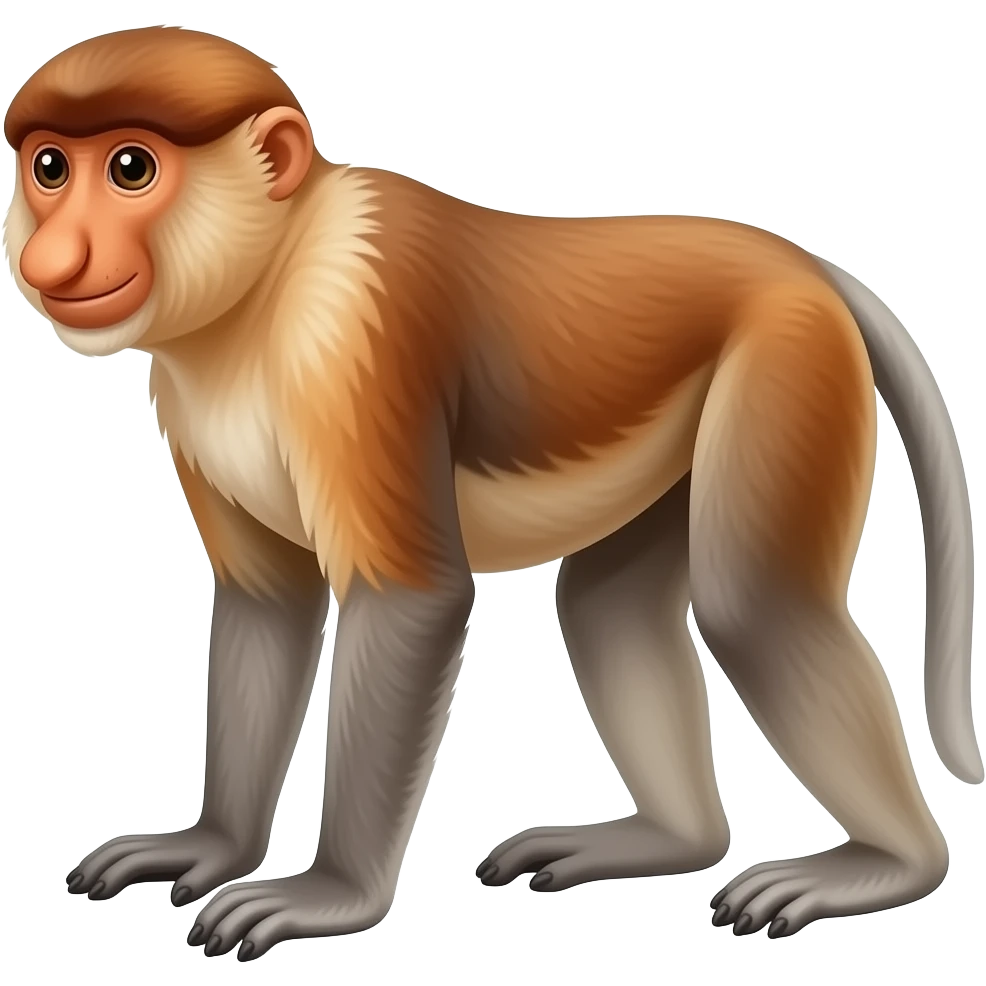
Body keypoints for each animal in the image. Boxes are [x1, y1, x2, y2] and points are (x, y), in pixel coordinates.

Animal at [3, 24, 979, 961]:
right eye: (50, 168)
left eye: (132, 167)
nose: (51, 256)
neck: (270, 277)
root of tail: (802, 267)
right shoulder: (187, 401)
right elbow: (267, 605)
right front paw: (210, 848)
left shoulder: (352, 341)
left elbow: (412, 601)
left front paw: (328, 896)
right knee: (610, 604)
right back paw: (673, 840)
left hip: (784, 363)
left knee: (753, 604)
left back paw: (893, 865)